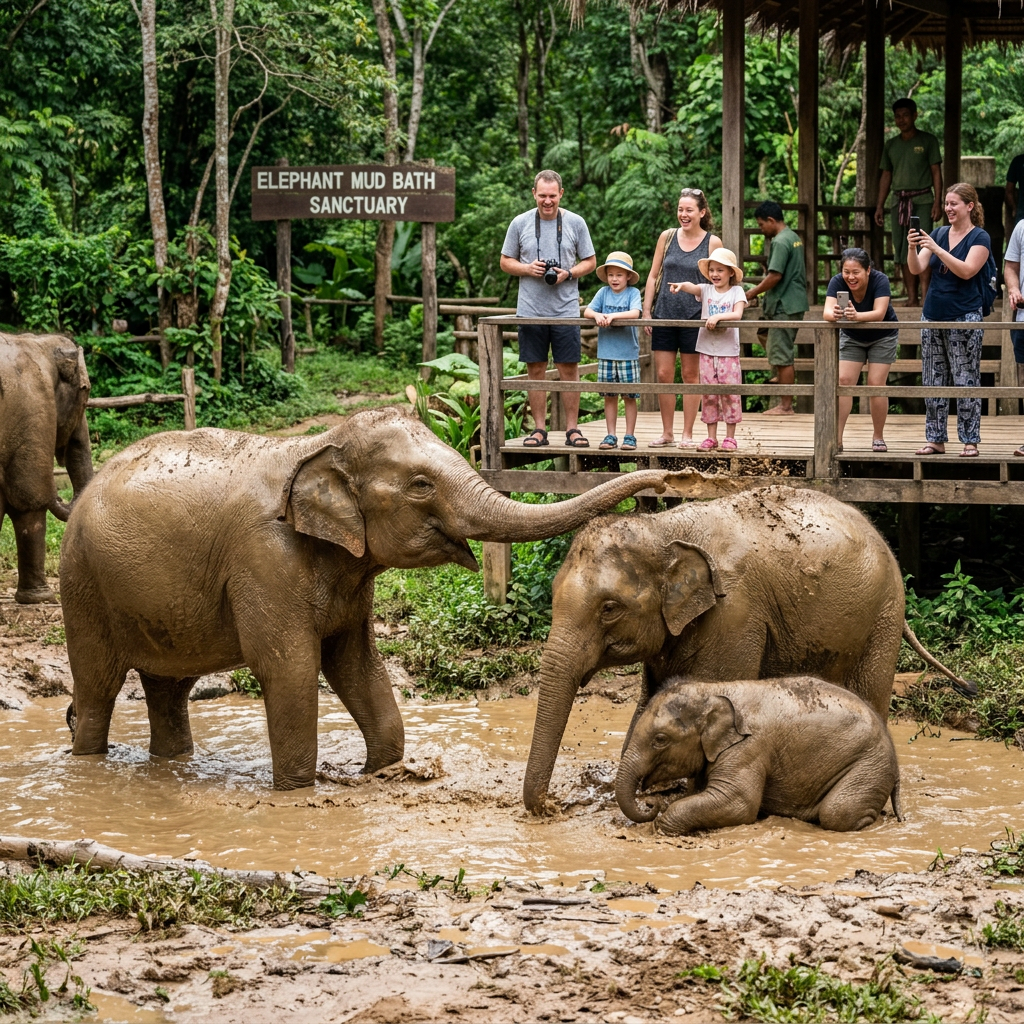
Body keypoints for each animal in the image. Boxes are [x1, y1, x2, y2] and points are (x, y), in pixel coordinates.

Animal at [0, 332, 93, 603]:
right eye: (86, 391)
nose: (60, 495)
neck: (36, 341)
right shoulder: (34, 407)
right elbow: (29, 498)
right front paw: (41, 598)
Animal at [60, 407, 675, 789]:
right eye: (421, 485)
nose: (669, 476)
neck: (316, 445)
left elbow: (355, 662)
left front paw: (378, 773)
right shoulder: (263, 557)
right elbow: (290, 667)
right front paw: (296, 792)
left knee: (168, 688)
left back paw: (172, 765)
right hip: (82, 585)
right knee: (97, 688)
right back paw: (87, 764)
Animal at [523, 485, 970, 813]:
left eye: (609, 609)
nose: (551, 808)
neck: (663, 528)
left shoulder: (735, 614)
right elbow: (651, 699)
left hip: (883, 616)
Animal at [614, 677, 902, 835]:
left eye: (660, 740)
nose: (650, 804)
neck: (714, 689)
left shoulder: (748, 748)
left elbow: (738, 803)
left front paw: (659, 827)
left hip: (870, 764)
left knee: (838, 813)